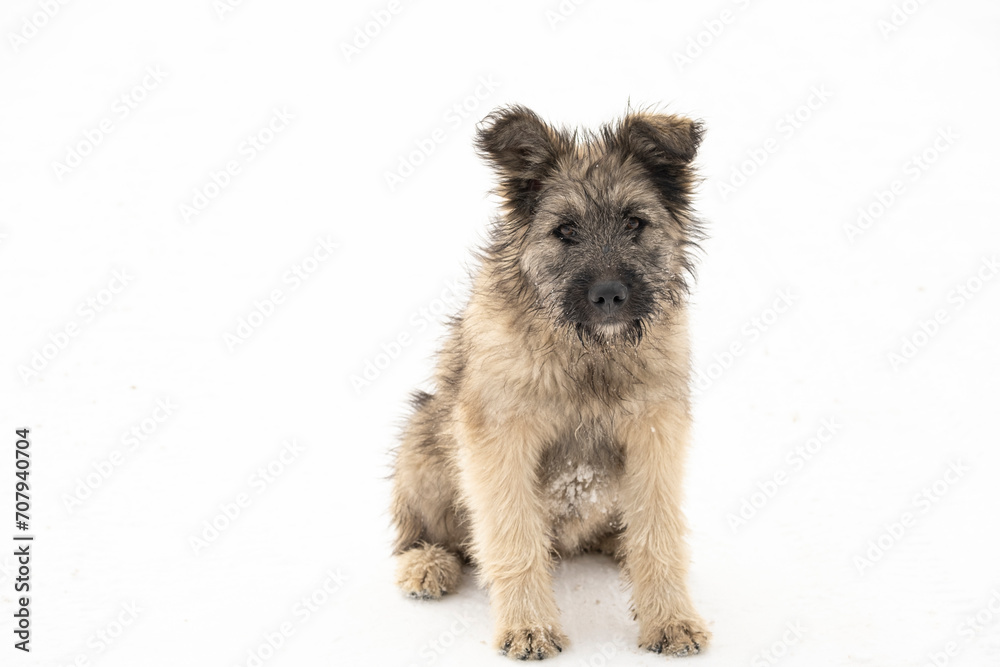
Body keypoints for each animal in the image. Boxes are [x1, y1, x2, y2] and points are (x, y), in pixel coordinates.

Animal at [390, 104, 710, 660]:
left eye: (635, 222)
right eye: (564, 230)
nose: (609, 295)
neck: (590, 353)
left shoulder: (655, 434)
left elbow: (658, 536)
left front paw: (671, 620)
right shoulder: (499, 441)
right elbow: (514, 539)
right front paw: (528, 627)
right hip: (424, 438)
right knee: (422, 532)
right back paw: (427, 565)